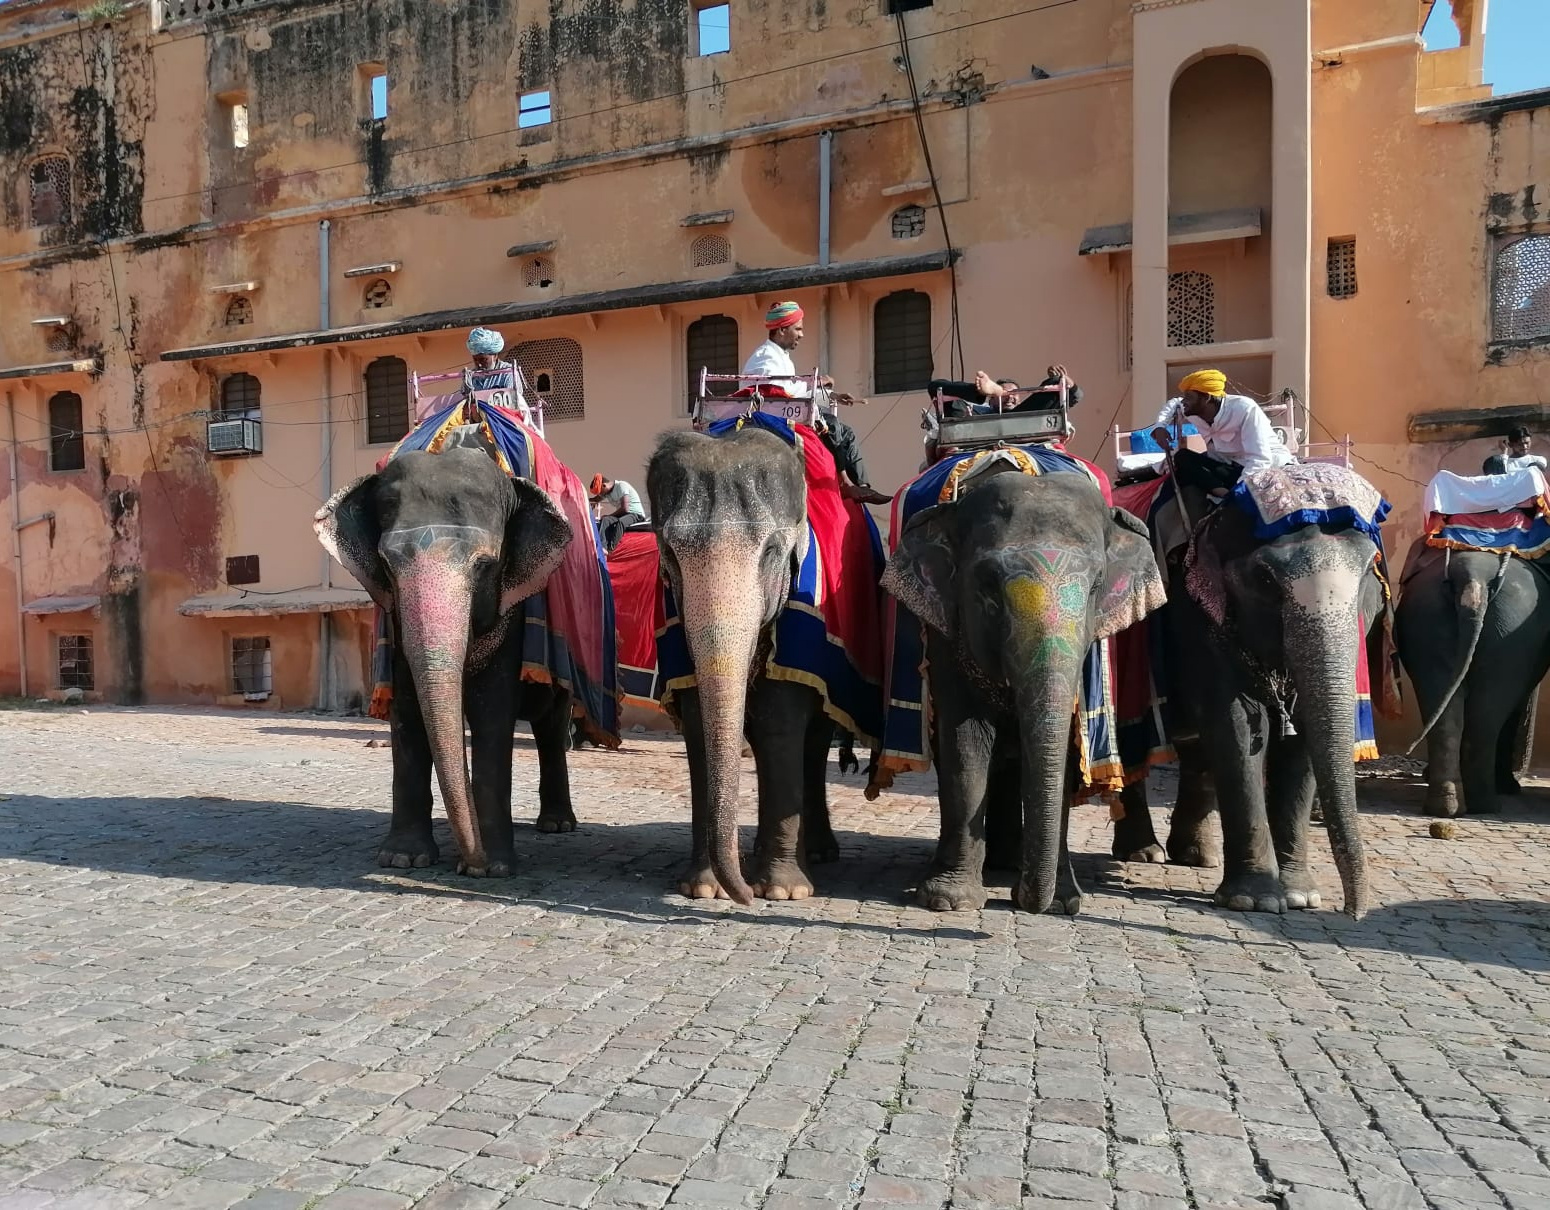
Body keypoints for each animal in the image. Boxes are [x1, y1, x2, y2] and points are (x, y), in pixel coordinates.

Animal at [313, 433, 576, 880]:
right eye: (387, 565)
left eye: (485, 565)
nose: (471, 863)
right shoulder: (396, 624)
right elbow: (407, 709)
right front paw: (403, 859)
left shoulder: (512, 611)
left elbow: (493, 711)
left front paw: (496, 868)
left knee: (550, 723)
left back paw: (558, 825)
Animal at [644, 424, 843, 904]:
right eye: (669, 554)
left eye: (771, 551)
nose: (746, 897)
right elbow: (698, 725)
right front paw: (703, 889)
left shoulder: (800, 625)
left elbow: (778, 722)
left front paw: (784, 893)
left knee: (814, 743)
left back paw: (818, 856)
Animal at [886, 470, 1165, 917]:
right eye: (987, 587)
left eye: (1096, 587)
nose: (1028, 903)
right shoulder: (949, 635)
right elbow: (966, 747)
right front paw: (949, 902)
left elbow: (1065, 752)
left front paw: (1066, 902)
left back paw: (1010, 863)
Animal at [1395, 539, 1550, 818]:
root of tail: (1474, 577)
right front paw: (1509, 788)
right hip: (1509, 626)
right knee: (1488, 712)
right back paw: (1485, 805)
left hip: (1428, 616)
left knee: (1447, 707)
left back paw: (1446, 806)